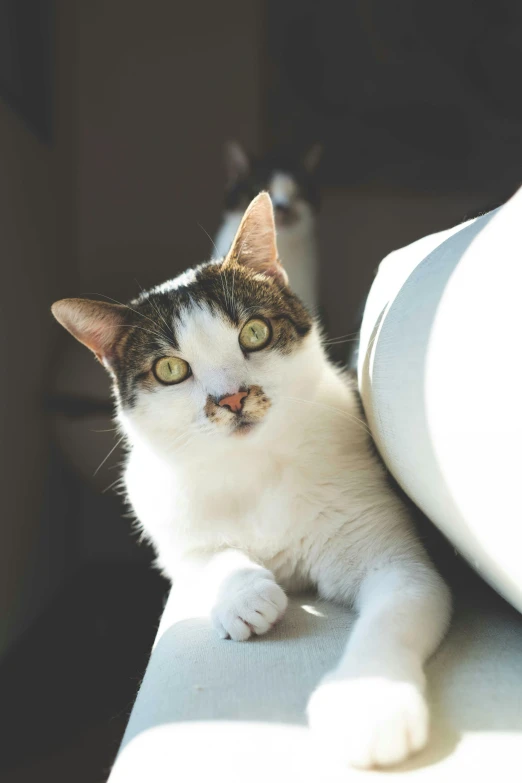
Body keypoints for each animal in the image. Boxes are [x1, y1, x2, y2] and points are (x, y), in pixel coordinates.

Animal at [50, 193, 446, 768]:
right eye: (170, 369)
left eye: (254, 333)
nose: (232, 398)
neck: (255, 465)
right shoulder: (171, 530)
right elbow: (207, 558)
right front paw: (244, 594)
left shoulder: (391, 553)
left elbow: (399, 604)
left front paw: (370, 704)